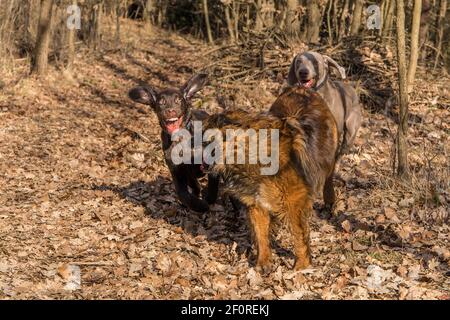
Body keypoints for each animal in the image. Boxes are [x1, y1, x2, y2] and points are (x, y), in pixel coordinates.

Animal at [127, 73, 219, 211]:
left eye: (178, 100)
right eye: (161, 102)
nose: (170, 111)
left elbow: (213, 186)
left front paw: (208, 199)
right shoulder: (176, 170)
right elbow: (183, 194)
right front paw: (199, 205)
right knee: (194, 186)